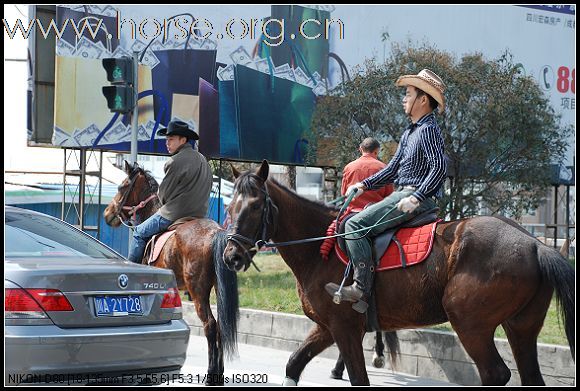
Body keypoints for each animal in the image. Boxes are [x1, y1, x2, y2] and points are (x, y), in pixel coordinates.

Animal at [103, 162, 239, 386]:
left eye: (122, 187)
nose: (107, 213)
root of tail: (216, 233)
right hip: (218, 288)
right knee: (221, 326)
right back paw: (219, 374)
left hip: (198, 291)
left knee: (210, 325)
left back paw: (211, 374)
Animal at [224, 161, 572, 388]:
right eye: (229, 207)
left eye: (255, 206)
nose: (231, 256)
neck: (320, 245)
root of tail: (533, 243)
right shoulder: (327, 327)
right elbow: (294, 363)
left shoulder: (344, 329)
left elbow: (359, 378)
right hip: (520, 327)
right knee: (530, 377)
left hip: (471, 325)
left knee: (495, 374)